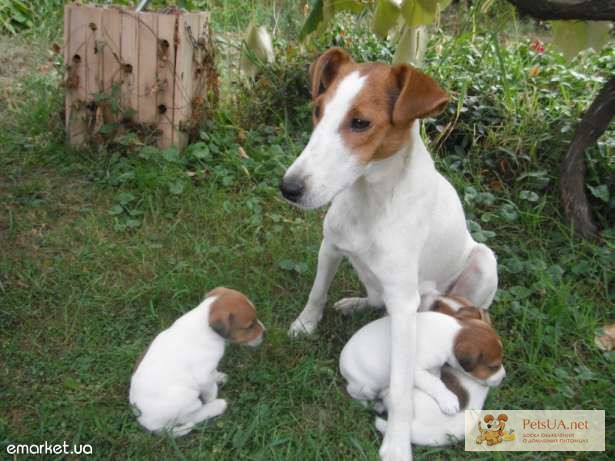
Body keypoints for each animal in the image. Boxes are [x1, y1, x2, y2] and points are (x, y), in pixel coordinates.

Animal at [129, 286, 266, 436]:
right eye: (249, 326)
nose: (265, 333)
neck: (204, 322)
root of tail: (145, 421)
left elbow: (214, 373)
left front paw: (219, 376)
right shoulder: (203, 377)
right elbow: (211, 390)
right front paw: (213, 398)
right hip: (187, 399)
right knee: (192, 417)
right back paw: (217, 406)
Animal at [342, 296, 506, 444]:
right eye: (493, 366)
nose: (504, 377)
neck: (450, 332)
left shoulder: (433, 366)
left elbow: (435, 377)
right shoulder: (415, 370)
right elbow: (434, 382)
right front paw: (448, 399)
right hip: (365, 387)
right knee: (354, 392)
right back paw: (372, 404)